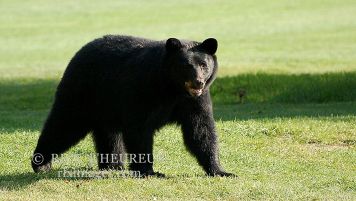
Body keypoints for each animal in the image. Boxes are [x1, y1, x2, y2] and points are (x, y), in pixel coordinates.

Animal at [32, 35, 235, 177]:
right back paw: (41, 164)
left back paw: (113, 165)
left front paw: (220, 170)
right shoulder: (141, 89)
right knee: (64, 124)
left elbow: (201, 130)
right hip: (82, 92)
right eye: (186, 65)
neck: (171, 88)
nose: (198, 82)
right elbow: (139, 129)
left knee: (109, 133)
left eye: (204, 65)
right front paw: (149, 171)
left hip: (107, 104)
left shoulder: (195, 101)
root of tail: (78, 53)